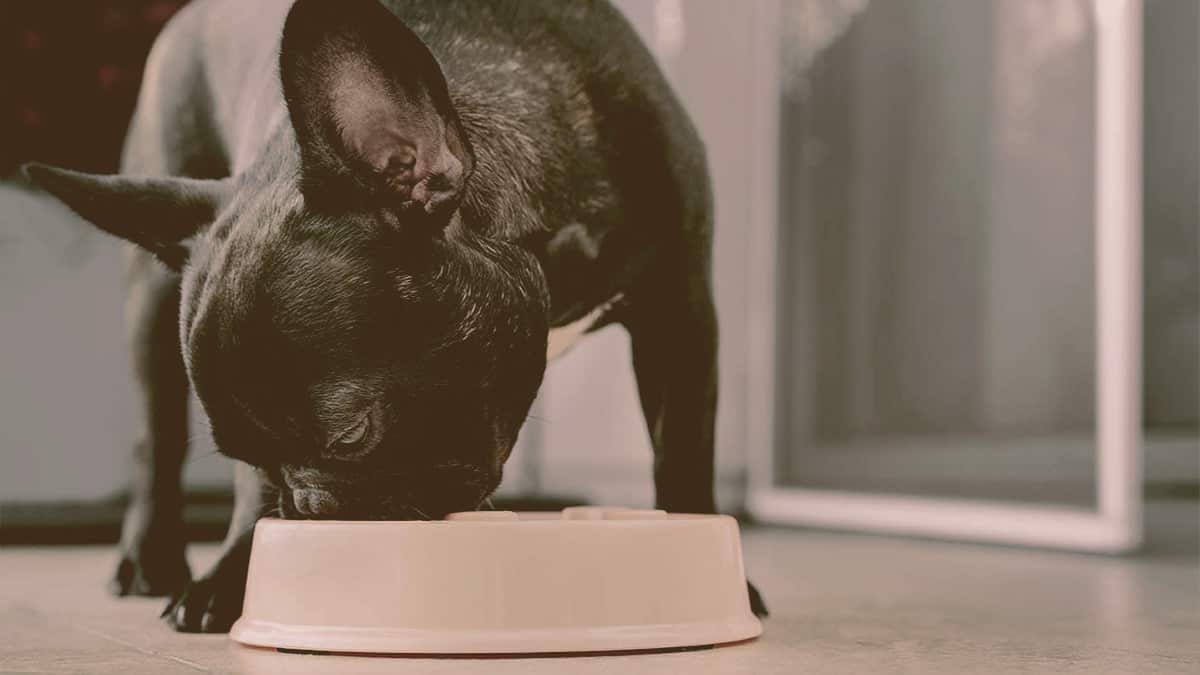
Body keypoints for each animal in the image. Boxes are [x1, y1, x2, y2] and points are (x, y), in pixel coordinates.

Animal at [25, 0, 768, 629]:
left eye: (351, 436)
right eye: (250, 456)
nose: (310, 510)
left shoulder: (680, 314)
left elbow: (684, 453)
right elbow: (240, 493)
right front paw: (235, 572)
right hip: (149, 299)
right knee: (156, 437)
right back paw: (146, 556)